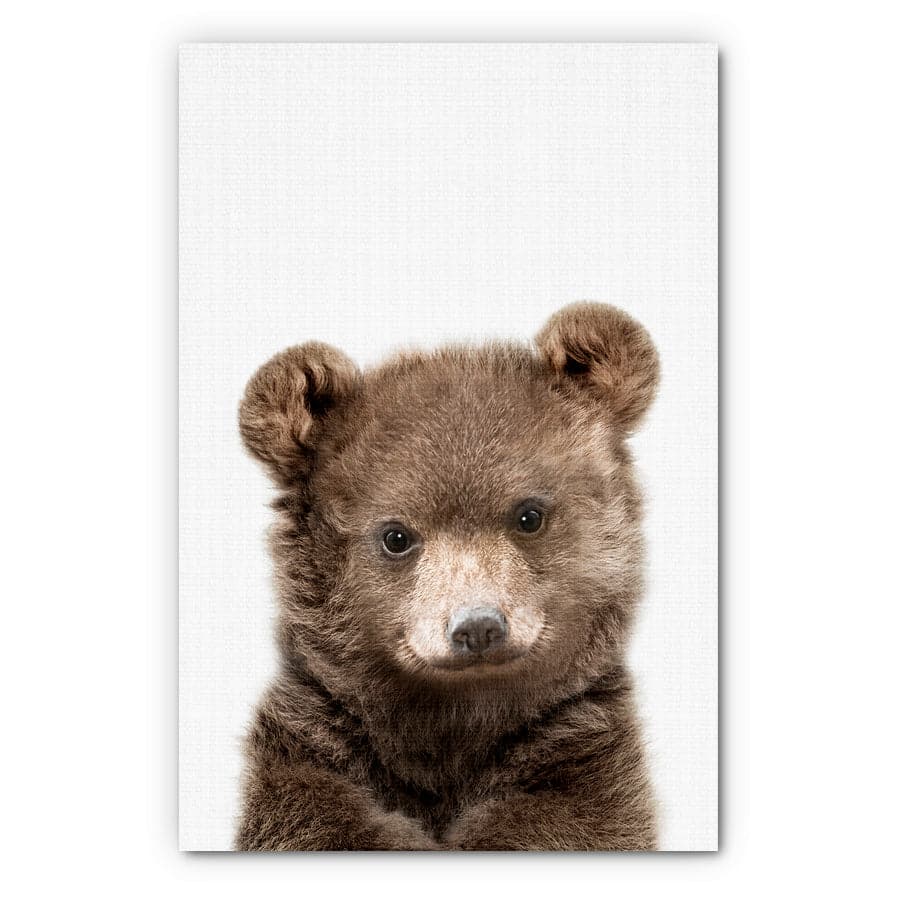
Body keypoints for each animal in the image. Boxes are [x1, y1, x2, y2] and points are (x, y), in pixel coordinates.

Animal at [235, 302, 660, 851]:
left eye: (529, 515)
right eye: (396, 535)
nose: (477, 627)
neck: (453, 726)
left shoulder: (581, 755)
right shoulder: (316, 747)